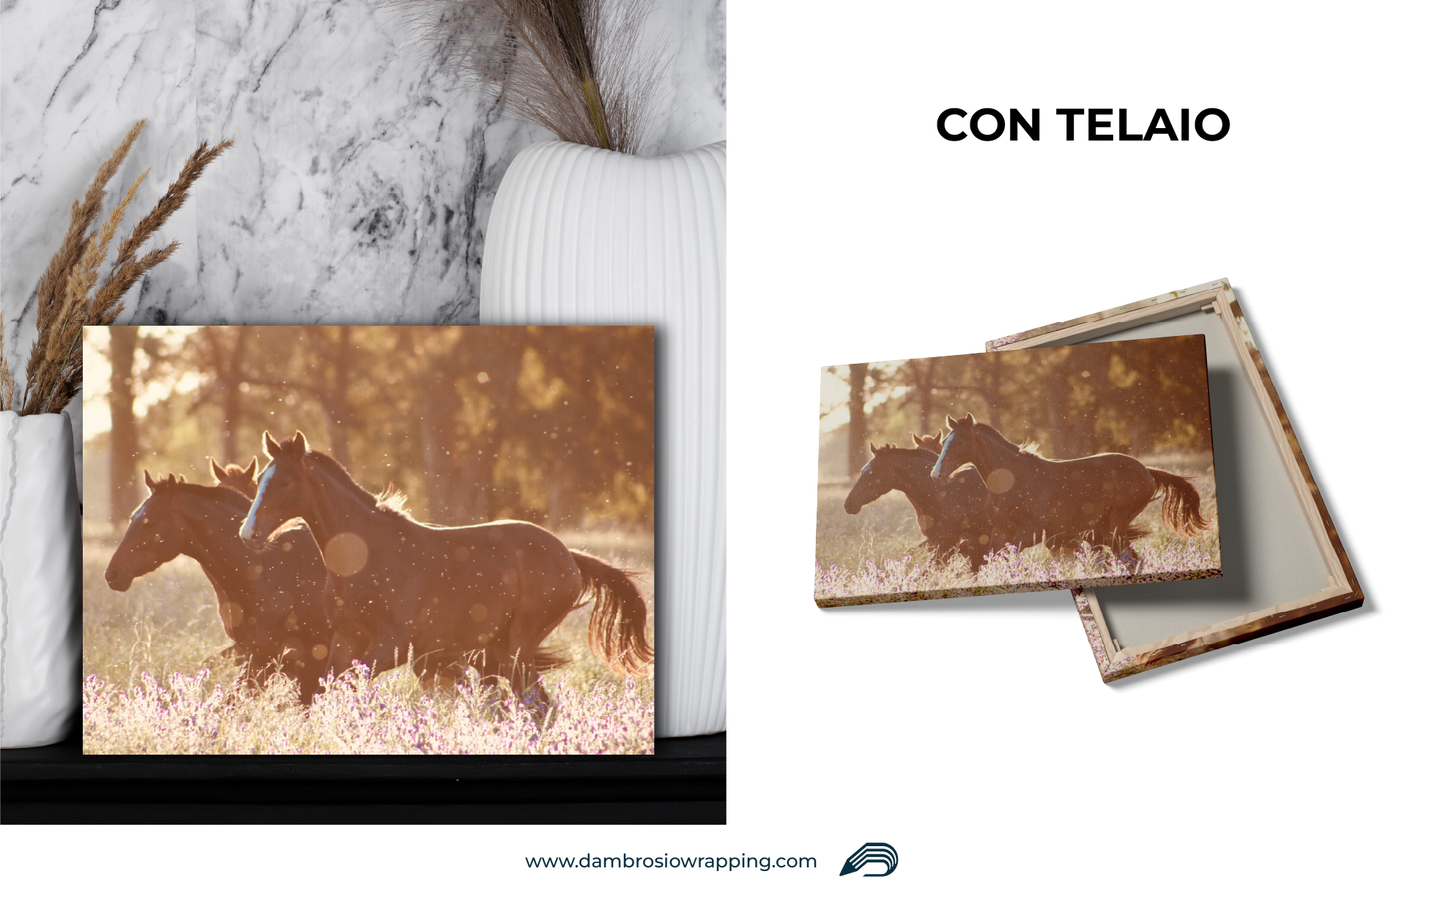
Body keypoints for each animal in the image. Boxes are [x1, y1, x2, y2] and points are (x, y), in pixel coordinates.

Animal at [238, 431, 652, 719]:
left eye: (285, 482)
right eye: (260, 481)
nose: (248, 534)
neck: (366, 555)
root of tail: (569, 556)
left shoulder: (391, 645)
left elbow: (345, 688)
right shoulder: (346, 640)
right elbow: (328, 691)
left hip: (517, 646)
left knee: (537, 705)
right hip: (498, 650)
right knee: (533, 705)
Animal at [930, 412, 1209, 562]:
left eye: (960, 442)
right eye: (944, 442)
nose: (936, 474)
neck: (1012, 480)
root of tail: (1147, 472)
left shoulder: (1032, 533)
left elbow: (1002, 557)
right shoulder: (1000, 530)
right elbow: (990, 558)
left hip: (1113, 528)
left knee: (1130, 560)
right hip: (1101, 532)